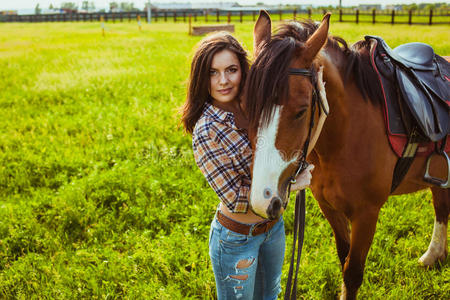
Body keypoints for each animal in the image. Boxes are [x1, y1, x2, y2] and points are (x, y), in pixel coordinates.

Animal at [244, 11, 448, 298]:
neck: (346, 136)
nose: (263, 200)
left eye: (301, 110)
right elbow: (344, 258)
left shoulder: (366, 214)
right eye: (245, 105)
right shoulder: (328, 206)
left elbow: (352, 273)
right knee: (441, 205)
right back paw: (433, 255)